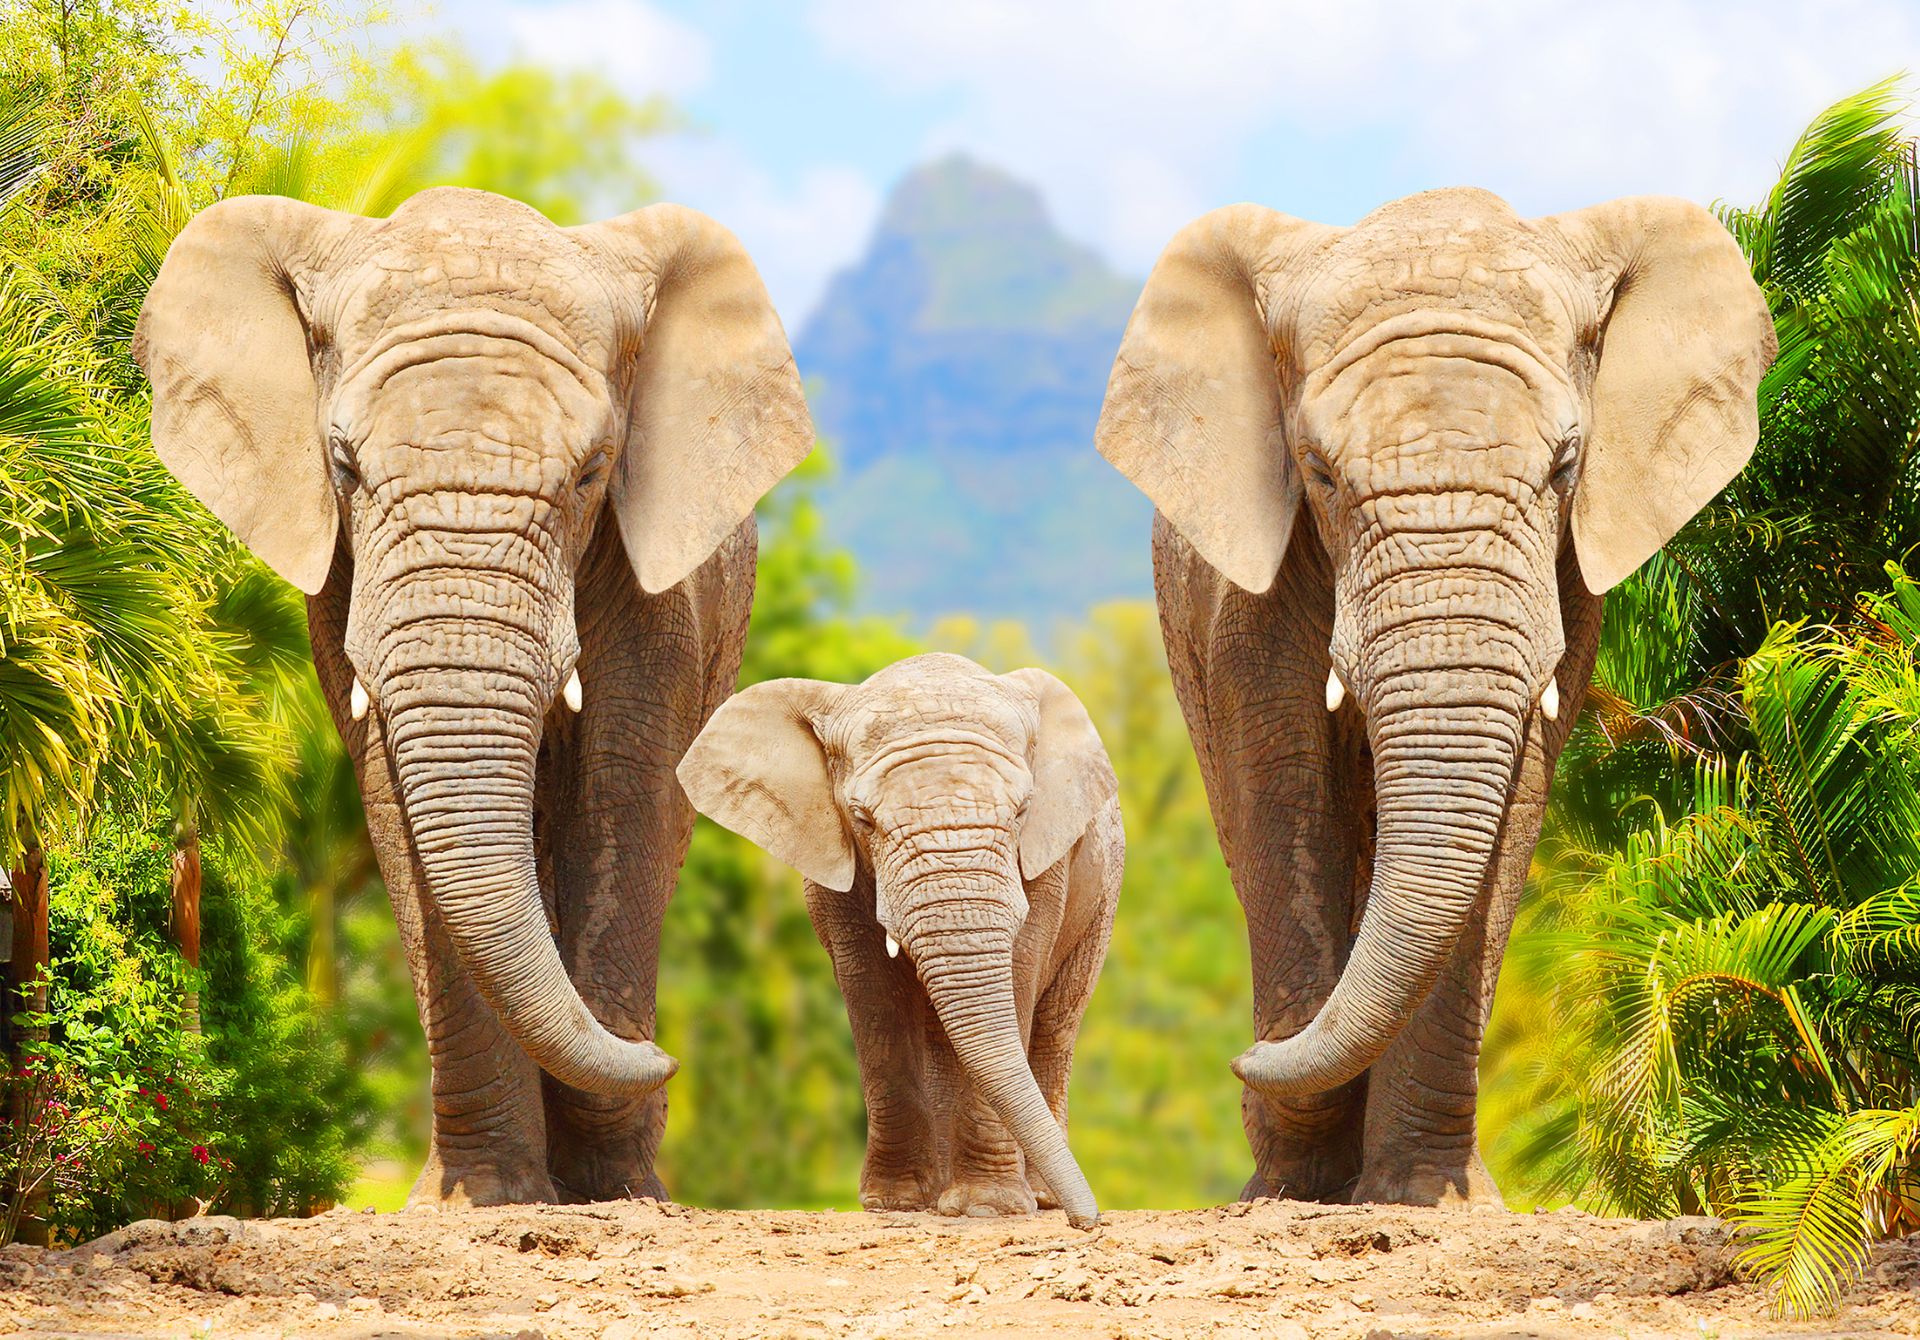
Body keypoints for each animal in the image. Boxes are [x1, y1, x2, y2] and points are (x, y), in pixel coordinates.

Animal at [133, 187, 814, 1207]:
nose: (665, 1057)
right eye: (343, 466)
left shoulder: (662, 596)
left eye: (594, 470)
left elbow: (623, 796)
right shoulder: (340, 585)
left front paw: (616, 1193)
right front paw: (488, 1198)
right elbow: (395, 808)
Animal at [676, 654, 1122, 1228]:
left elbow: (1020, 973)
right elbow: (874, 995)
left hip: (1103, 896)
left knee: (1055, 1023)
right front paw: (896, 1203)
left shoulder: (1047, 862)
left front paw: (987, 1209)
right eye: (862, 819)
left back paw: (1037, 1197)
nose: (1087, 1221)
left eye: (1023, 811)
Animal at [1094, 188, 1774, 1206]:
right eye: (1318, 471)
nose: (1243, 1060)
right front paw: (1294, 1189)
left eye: (1566, 466)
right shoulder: (1246, 600)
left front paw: (1423, 1196)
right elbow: (1283, 793)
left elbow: (1511, 811)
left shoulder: (1567, 588)